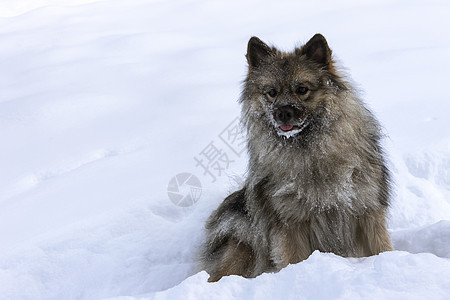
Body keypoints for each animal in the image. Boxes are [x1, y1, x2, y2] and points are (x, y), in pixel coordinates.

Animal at [202, 34, 392, 282]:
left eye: (302, 89)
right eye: (271, 92)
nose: (283, 112)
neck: (312, 155)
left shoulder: (367, 211)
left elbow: (381, 248)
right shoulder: (290, 224)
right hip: (244, 247)